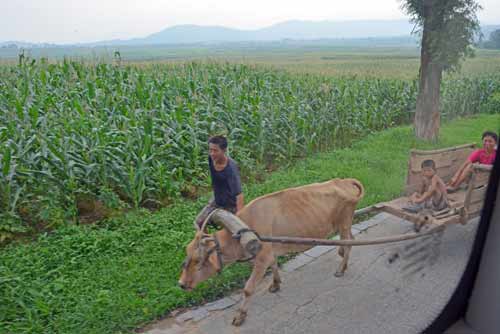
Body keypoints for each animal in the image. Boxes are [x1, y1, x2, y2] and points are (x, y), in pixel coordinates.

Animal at [179, 179, 364, 324]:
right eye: (187, 254)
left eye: (198, 260)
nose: (181, 284)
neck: (242, 233)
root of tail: (343, 181)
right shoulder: (268, 253)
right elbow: (274, 265)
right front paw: (275, 284)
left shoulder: (262, 258)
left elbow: (248, 288)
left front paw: (240, 316)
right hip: (344, 224)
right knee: (351, 239)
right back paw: (342, 257)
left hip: (344, 221)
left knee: (349, 243)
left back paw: (341, 268)